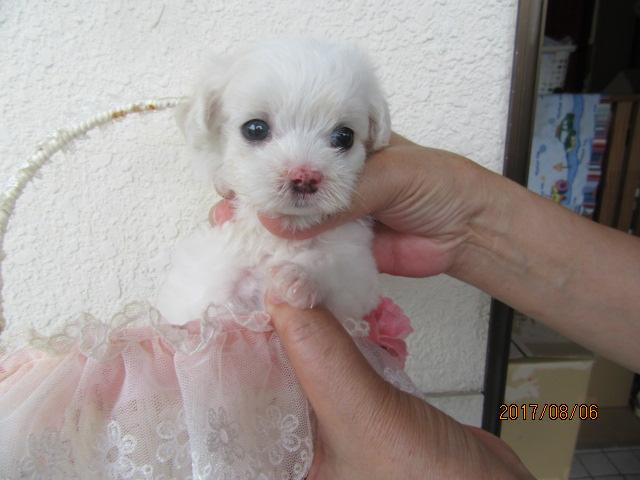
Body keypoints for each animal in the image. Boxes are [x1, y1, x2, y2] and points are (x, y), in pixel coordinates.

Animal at [157, 39, 391, 328]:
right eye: (255, 129)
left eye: (344, 136)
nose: (304, 177)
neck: (284, 235)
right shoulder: (205, 272)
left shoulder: (357, 271)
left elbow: (334, 265)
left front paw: (298, 277)